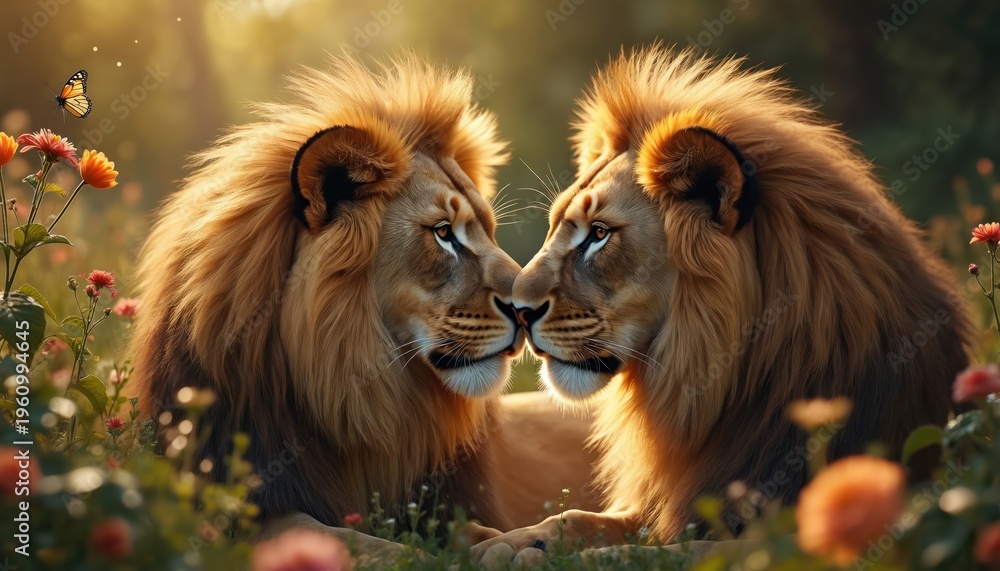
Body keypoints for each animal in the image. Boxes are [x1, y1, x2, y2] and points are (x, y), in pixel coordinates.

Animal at [473, 46, 971, 556]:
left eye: (599, 234)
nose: (518, 311)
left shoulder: (780, 529)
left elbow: (657, 553)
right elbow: (573, 518)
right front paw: (501, 541)